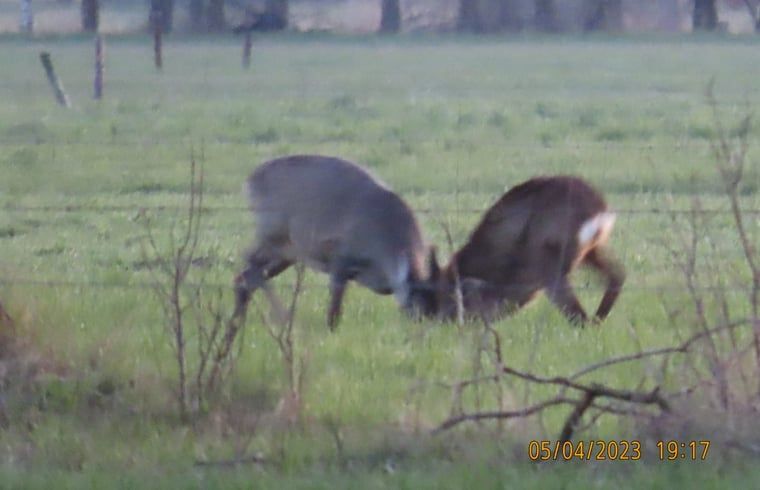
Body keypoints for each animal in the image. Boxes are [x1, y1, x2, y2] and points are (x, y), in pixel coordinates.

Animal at [233, 155, 438, 329]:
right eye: (416, 302)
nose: (429, 328)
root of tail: (252, 178)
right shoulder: (340, 259)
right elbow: (335, 307)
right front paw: (331, 330)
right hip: (273, 238)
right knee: (248, 261)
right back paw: (280, 317)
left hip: (288, 253)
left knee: (245, 277)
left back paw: (239, 322)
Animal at [427, 176, 625, 325]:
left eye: (449, 301)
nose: (441, 322)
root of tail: (599, 207)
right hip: (592, 250)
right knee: (618, 275)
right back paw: (600, 318)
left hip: (553, 262)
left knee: (578, 315)